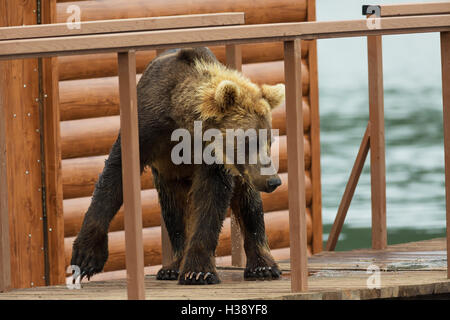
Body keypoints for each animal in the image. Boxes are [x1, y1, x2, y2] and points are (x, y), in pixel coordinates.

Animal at [72, 47, 286, 284]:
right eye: (250, 141)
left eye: (269, 141)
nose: (274, 180)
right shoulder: (147, 128)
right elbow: (114, 175)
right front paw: (86, 257)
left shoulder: (211, 158)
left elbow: (210, 201)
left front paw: (198, 271)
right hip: (169, 178)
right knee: (173, 212)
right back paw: (172, 266)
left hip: (241, 177)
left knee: (250, 205)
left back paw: (262, 266)